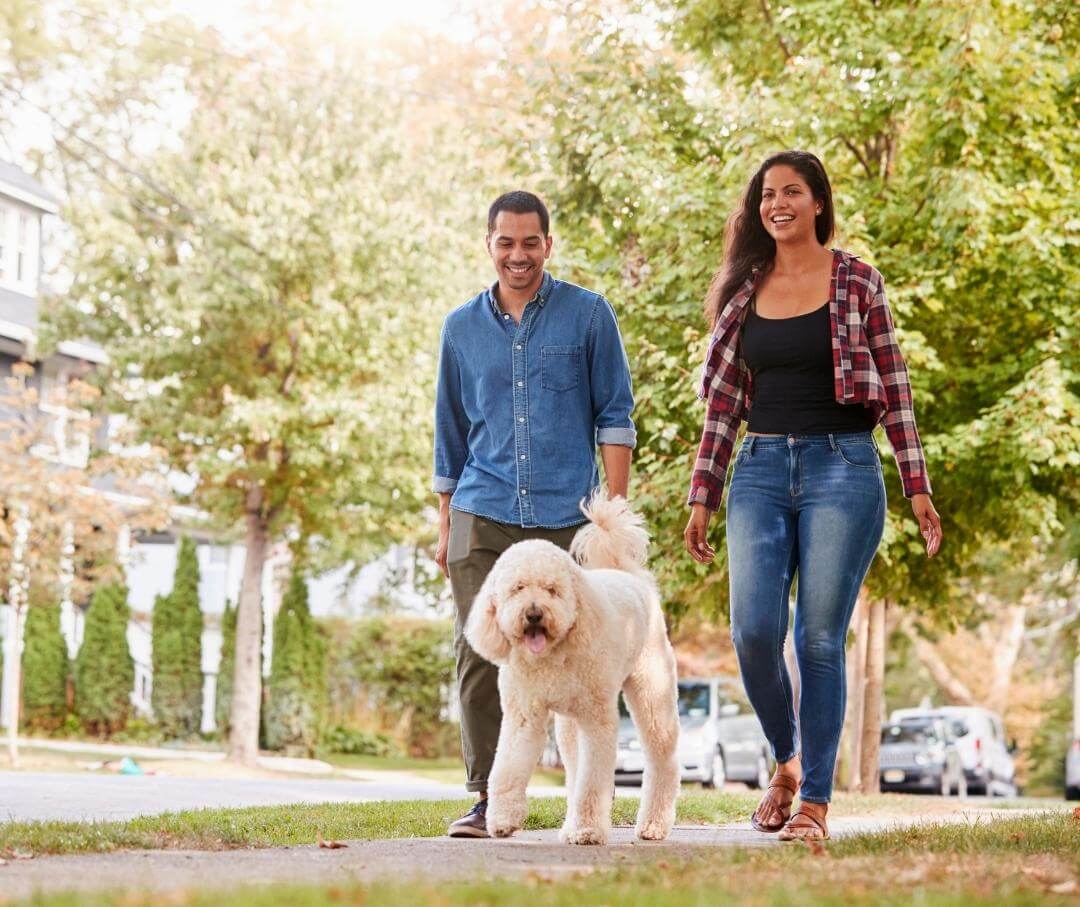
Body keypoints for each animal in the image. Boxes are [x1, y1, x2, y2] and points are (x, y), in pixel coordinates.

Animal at [466, 492, 682, 846]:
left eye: (552, 589)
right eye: (517, 588)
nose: (534, 614)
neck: (551, 656)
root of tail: (631, 577)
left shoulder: (597, 720)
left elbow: (593, 781)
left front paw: (587, 829)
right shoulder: (523, 716)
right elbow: (508, 768)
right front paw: (502, 820)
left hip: (653, 695)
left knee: (662, 759)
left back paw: (653, 825)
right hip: (568, 724)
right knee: (573, 766)